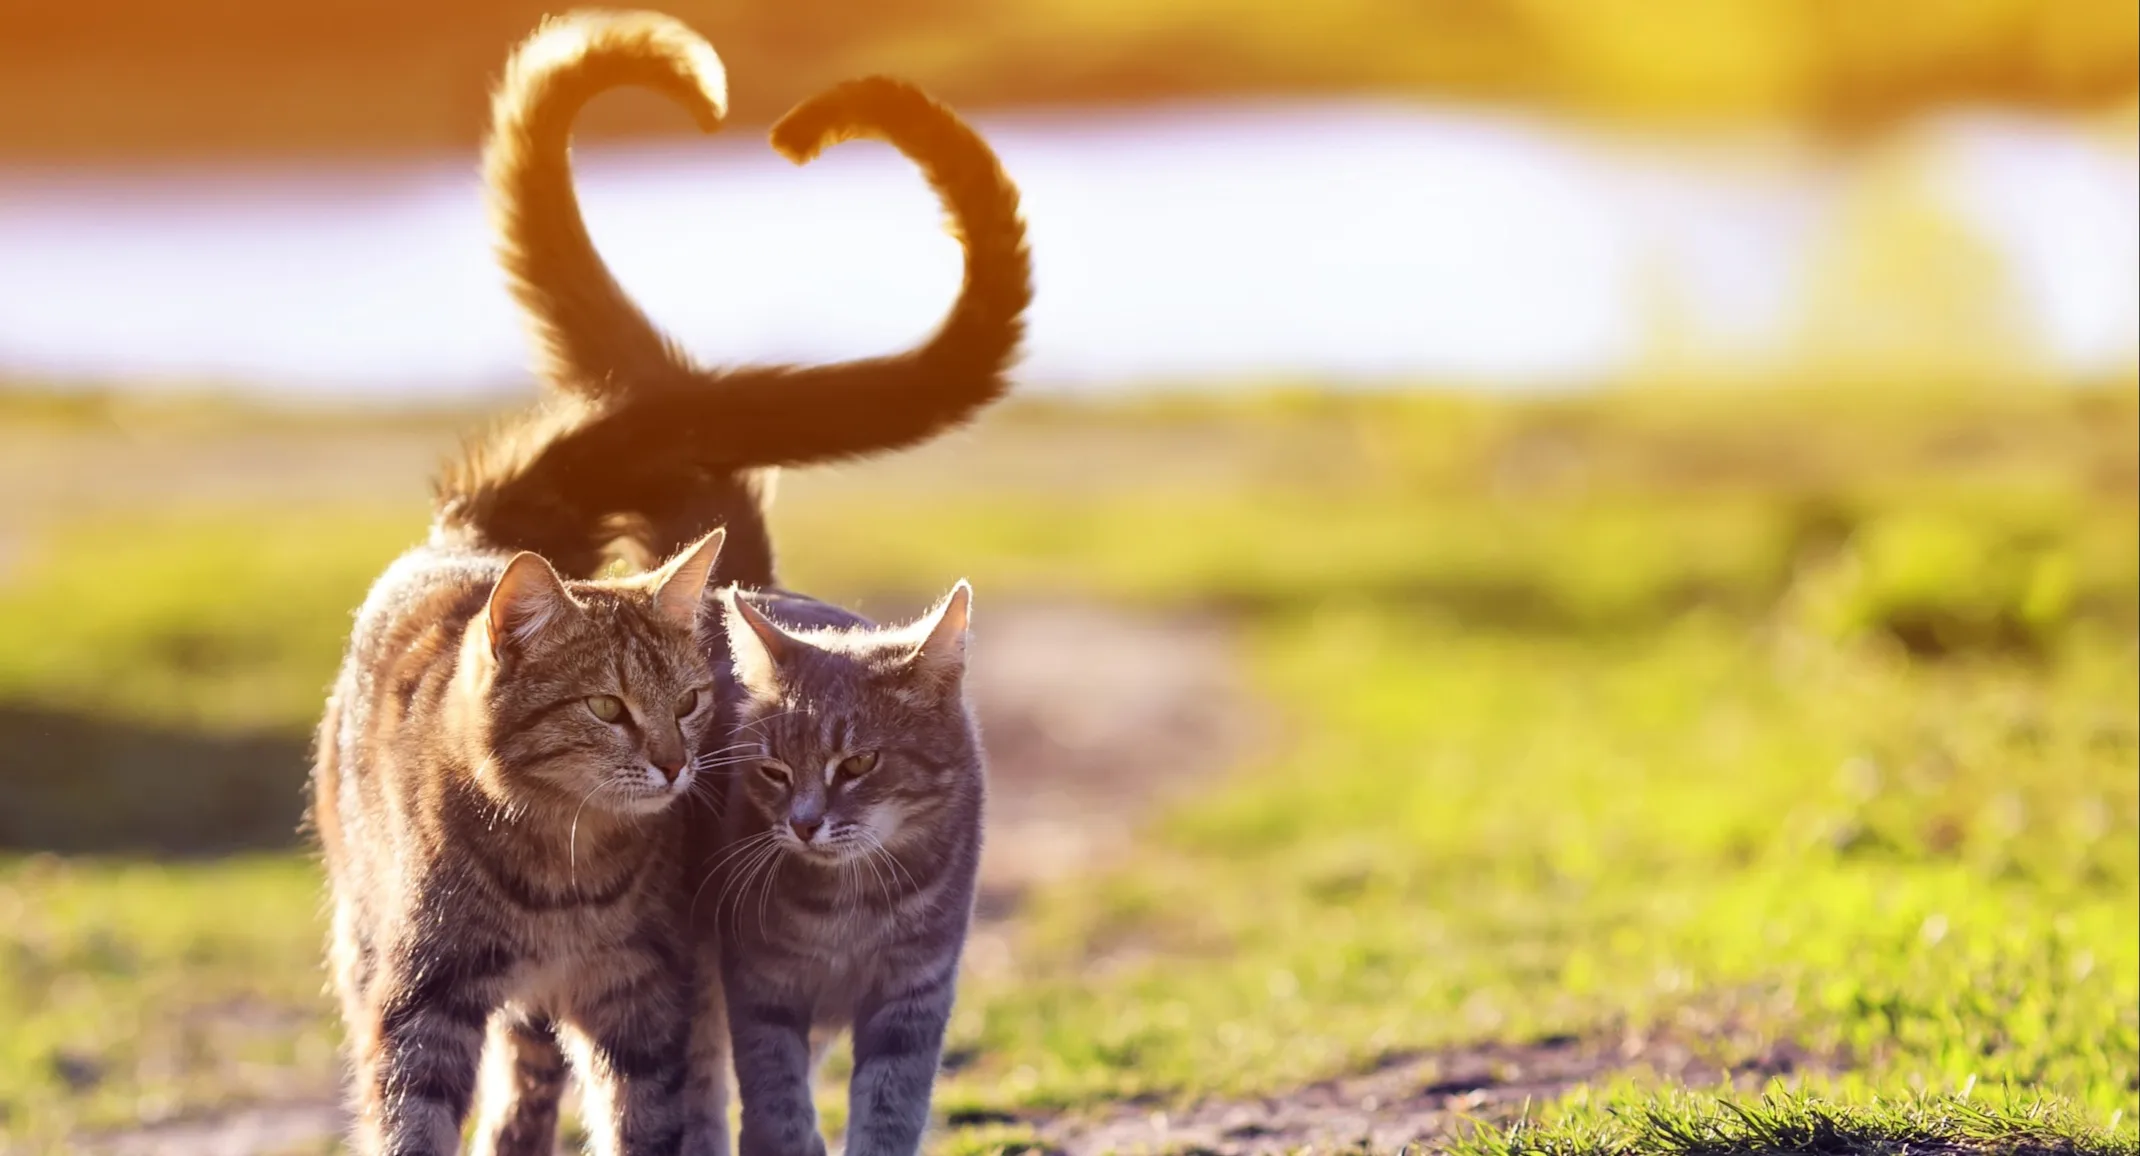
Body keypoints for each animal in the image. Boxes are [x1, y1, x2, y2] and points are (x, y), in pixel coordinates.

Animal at [306, 518, 731, 1156]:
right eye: (606, 707)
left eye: (688, 702)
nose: (675, 764)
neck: (565, 860)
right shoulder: (425, 995)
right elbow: (412, 1121)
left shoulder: (638, 989)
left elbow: (643, 1118)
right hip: (365, 940)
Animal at [706, 582, 988, 1156]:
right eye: (774, 770)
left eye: (858, 763)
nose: (803, 823)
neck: (852, 904)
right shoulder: (761, 984)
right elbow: (775, 1099)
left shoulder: (914, 990)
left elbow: (891, 1105)